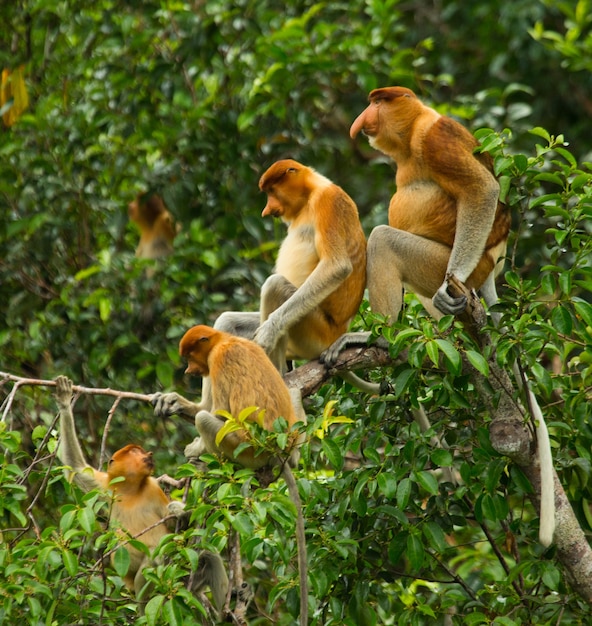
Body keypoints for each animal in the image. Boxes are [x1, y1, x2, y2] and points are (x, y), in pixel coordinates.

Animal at [52, 376, 228, 616]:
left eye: (142, 450)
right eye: (135, 451)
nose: (149, 454)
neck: (131, 490)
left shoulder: (152, 488)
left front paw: (178, 511)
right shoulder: (106, 486)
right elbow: (75, 467)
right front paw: (63, 399)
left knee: (189, 557)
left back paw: (221, 613)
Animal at [153, 324, 310, 620]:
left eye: (190, 355)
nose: (189, 370)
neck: (222, 341)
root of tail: (277, 450)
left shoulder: (217, 361)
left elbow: (219, 414)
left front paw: (194, 448)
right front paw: (171, 401)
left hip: (245, 450)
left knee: (206, 420)